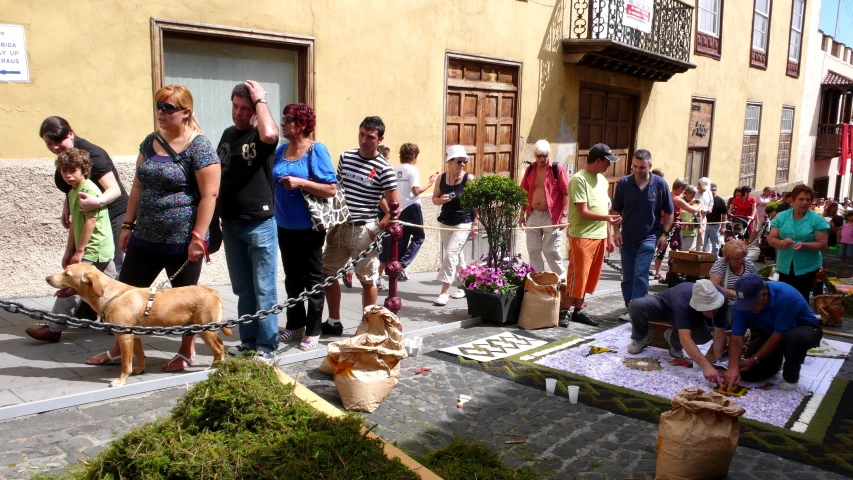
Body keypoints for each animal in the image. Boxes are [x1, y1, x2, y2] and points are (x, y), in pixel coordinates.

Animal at [45, 262, 231, 386]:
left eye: (67, 274)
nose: (46, 278)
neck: (111, 296)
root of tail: (213, 291)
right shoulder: (135, 337)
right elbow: (140, 356)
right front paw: (139, 370)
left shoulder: (125, 337)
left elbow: (125, 363)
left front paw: (121, 381)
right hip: (207, 329)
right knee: (221, 344)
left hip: (205, 330)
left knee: (218, 348)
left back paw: (214, 368)